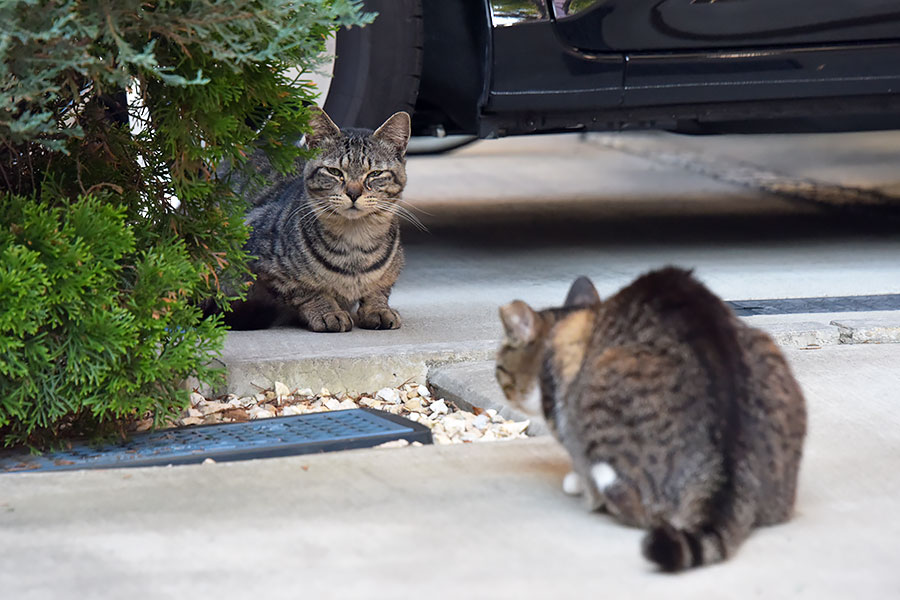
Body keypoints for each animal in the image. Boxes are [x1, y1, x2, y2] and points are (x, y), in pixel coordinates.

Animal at [227, 108, 410, 332]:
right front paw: (327, 312)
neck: (355, 242)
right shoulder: (265, 264)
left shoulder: (393, 269)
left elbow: (379, 287)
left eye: (375, 174)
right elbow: (306, 291)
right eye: (334, 171)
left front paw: (377, 308)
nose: (353, 193)